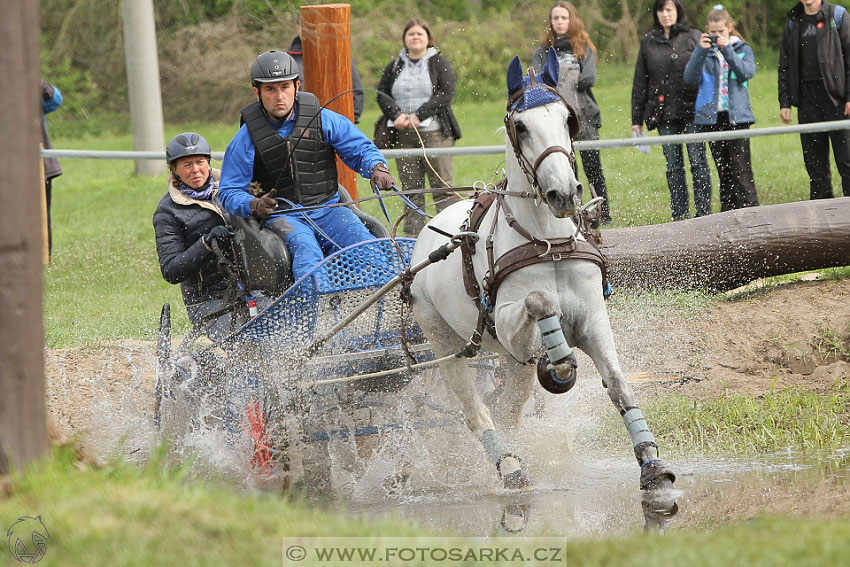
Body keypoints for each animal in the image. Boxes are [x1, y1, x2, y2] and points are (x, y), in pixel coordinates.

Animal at [408, 50, 672, 492]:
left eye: (568, 118)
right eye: (521, 125)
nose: (563, 193)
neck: (549, 245)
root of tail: (429, 229)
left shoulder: (592, 320)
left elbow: (618, 384)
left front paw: (651, 463)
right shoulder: (508, 323)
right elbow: (540, 300)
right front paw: (559, 364)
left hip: (510, 364)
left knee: (510, 409)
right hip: (444, 341)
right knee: (477, 412)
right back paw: (509, 466)